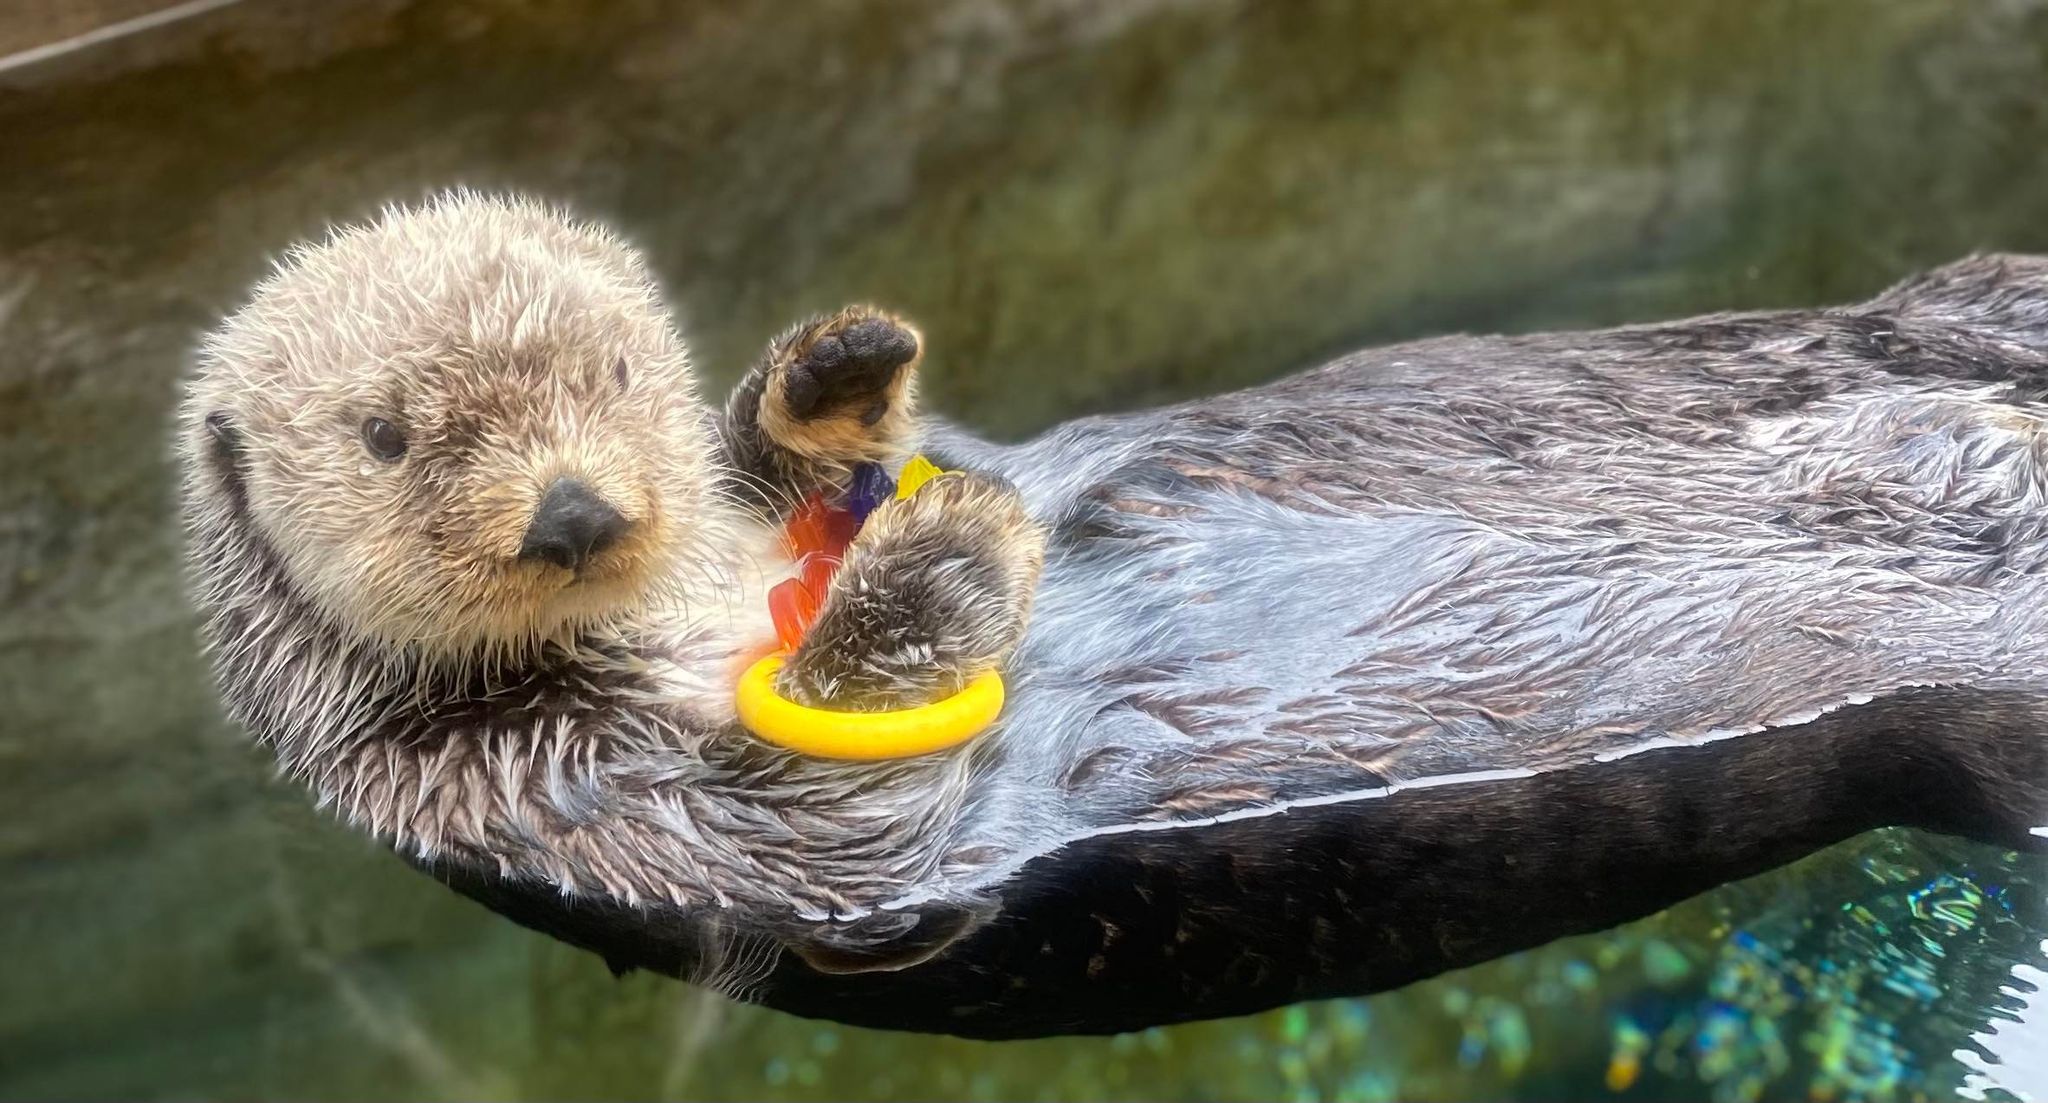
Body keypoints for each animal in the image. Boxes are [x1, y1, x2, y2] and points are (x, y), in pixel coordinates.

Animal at [183, 192, 2048, 1039]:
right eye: (389, 433)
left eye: (618, 374)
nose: (579, 508)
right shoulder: (572, 797)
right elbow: (860, 821)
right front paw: (948, 552)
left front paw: (827, 377)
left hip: (1960, 300)